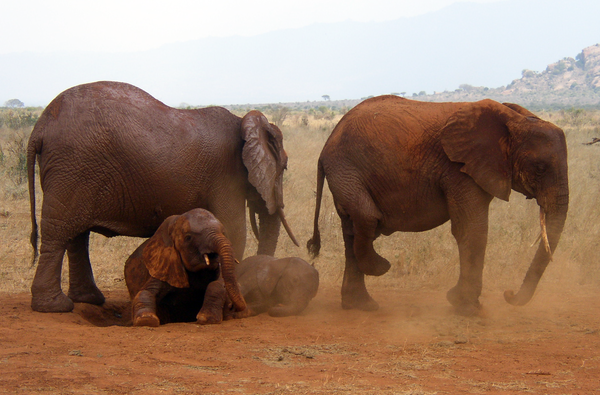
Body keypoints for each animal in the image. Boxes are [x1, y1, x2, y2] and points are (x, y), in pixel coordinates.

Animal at [308, 95, 568, 316]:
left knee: (351, 229)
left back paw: (361, 305)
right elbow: (472, 230)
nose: (509, 294)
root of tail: (326, 145)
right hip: (345, 170)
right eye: (540, 169)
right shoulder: (458, 169)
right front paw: (467, 308)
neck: (513, 120)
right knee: (368, 217)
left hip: (345, 173)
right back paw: (381, 267)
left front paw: (462, 303)